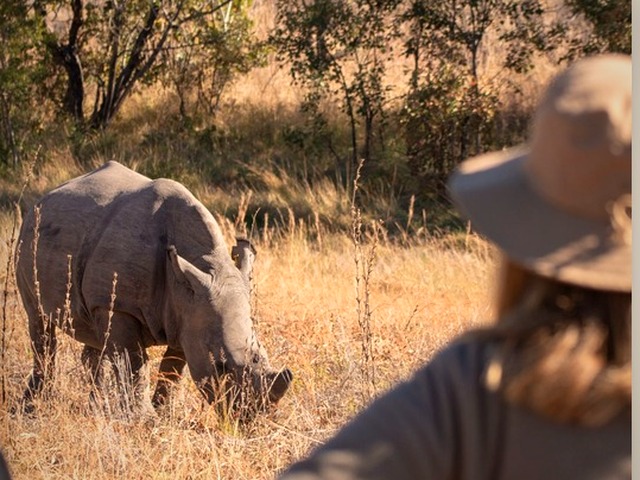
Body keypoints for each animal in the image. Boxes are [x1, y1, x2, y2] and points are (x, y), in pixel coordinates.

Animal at [16, 161, 292, 415]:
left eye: (261, 355)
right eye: (221, 366)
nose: (252, 414)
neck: (209, 263)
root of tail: (45, 196)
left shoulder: (189, 313)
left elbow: (172, 370)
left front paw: (163, 413)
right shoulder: (120, 306)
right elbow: (134, 363)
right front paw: (144, 419)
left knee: (94, 335)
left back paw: (95, 408)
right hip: (28, 235)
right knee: (39, 323)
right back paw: (33, 405)